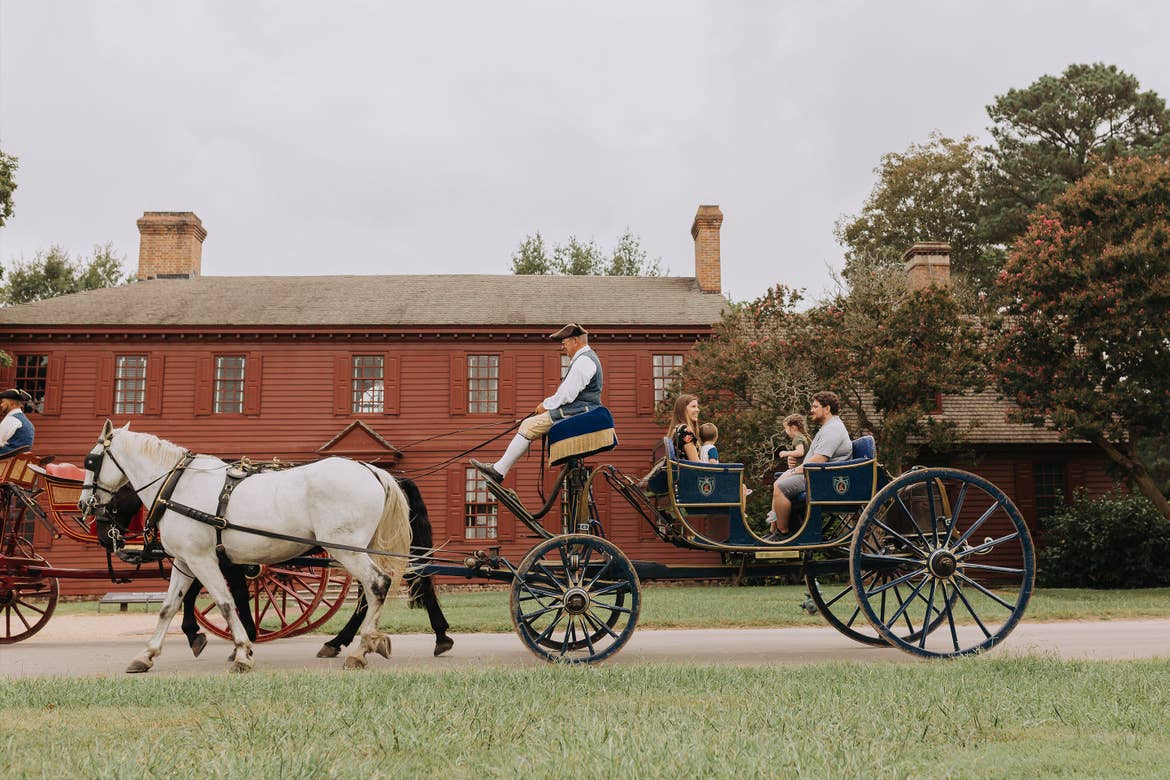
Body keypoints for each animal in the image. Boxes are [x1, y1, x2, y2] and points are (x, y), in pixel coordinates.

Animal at [77, 423, 411, 673]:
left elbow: (225, 603)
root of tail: (370, 470)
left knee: (377, 584)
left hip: (346, 549)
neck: (177, 486)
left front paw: (241, 651)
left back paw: (360, 649)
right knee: (369, 593)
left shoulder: (203, 560)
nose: (84, 506)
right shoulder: (185, 562)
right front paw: (146, 655)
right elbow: (168, 607)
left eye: (90, 461)